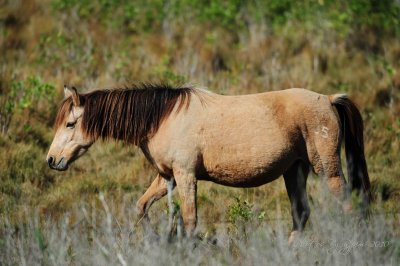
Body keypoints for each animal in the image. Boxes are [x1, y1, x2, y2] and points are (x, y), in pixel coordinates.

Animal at [47, 84, 372, 241]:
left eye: (70, 124)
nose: (52, 160)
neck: (162, 117)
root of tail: (328, 99)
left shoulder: (186, 175)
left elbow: (190, 219)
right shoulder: (166, 176)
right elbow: (142, 207)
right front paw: (156, 236)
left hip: (327, 169)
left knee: (348, 206)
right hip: (294, 171)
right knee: (301, 214)